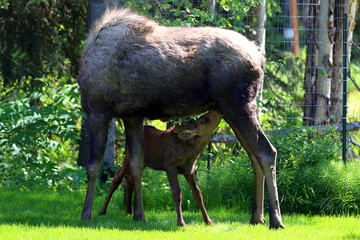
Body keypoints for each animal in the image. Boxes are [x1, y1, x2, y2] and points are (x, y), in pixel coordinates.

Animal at [78, 7, 284, 229]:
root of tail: (260, 58)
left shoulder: (98, 110)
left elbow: (93, 166)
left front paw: (86, 213)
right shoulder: (132, 116)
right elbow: (136, 167)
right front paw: (139, 215)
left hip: (238, 106)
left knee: (267, 152)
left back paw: (275, 219)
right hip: (231, 110)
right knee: (254, 157)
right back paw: (257, 217)